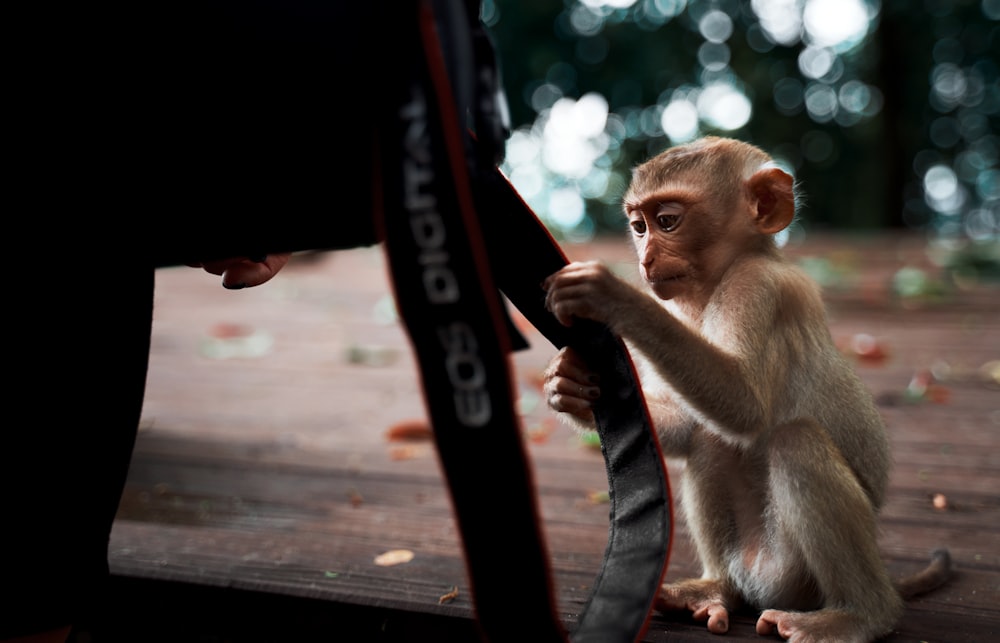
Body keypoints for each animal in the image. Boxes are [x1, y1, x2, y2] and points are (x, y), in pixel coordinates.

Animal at [544, 137, 948, 643]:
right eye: (638, 227)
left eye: (667, 221)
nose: (645, 258)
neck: (720, 278)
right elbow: (687, 426)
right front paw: (569, 385)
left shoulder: (754, 288)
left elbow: (744, 406)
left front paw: (613, 295)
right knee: (709, 443)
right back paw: (717, 589)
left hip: (794, 577)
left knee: (794, 442)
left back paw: (861, 615)